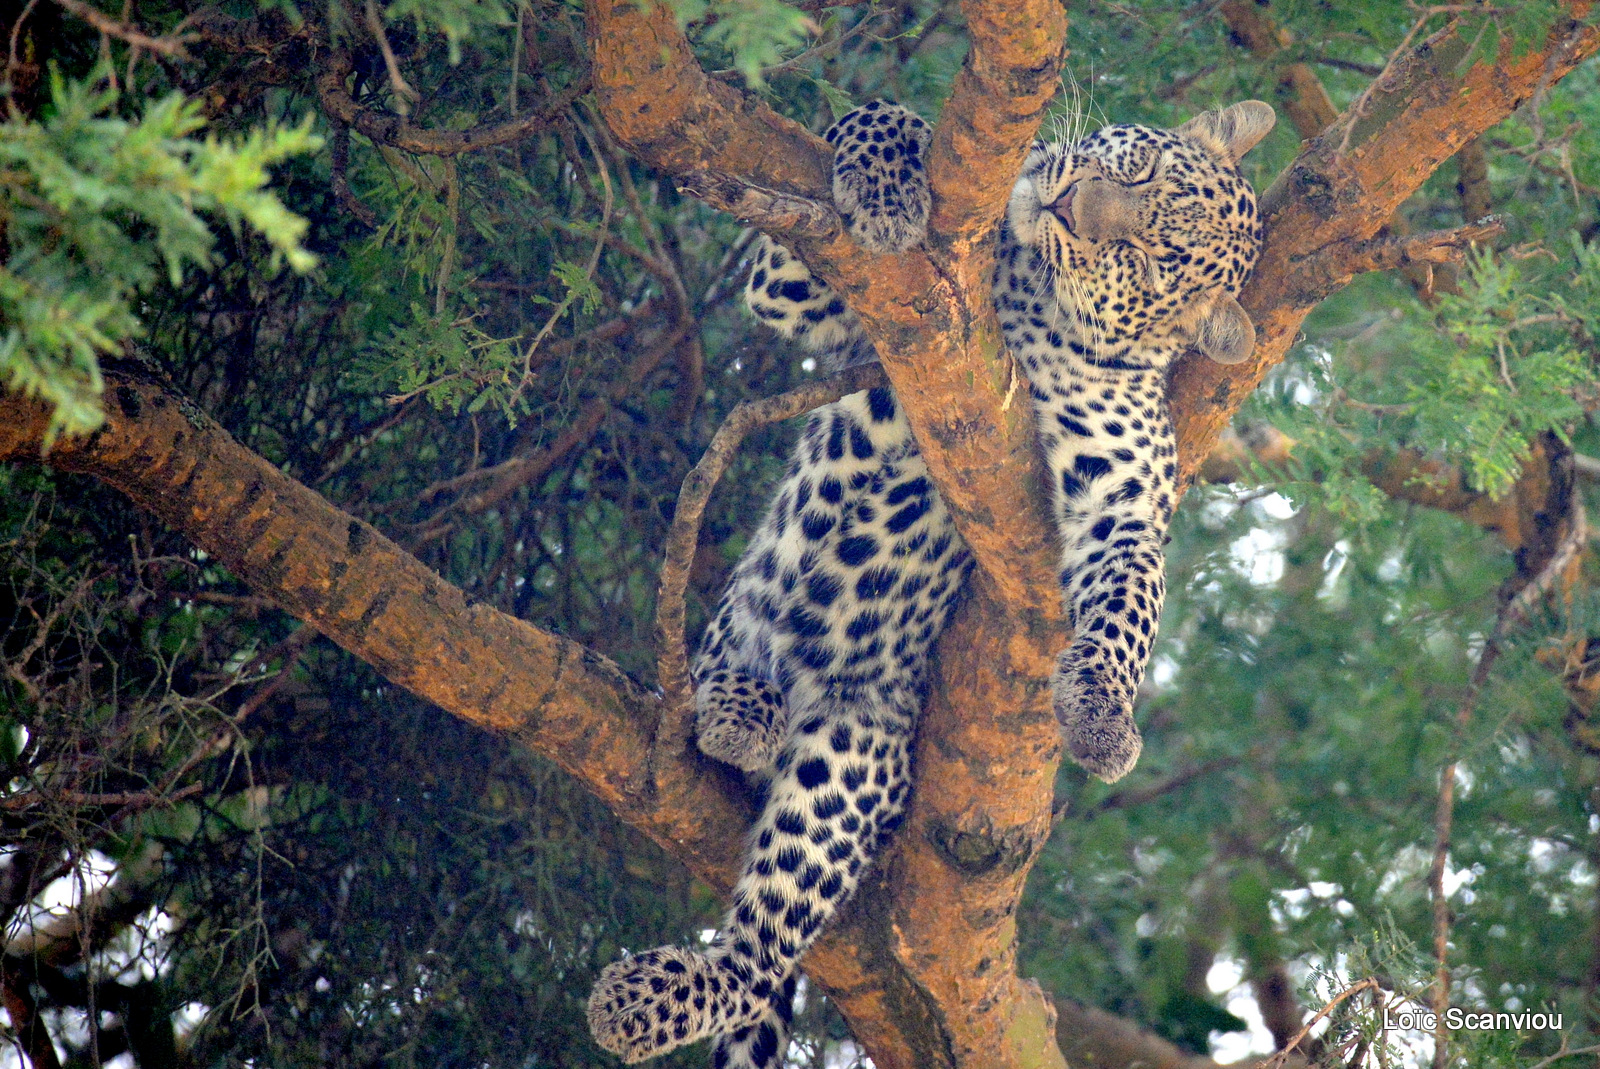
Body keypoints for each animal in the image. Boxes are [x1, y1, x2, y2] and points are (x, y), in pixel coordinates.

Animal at [588, 96, 1273, 1062]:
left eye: (1147, 262)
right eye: (1139, 172)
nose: (1067, 205)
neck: (1029, 293)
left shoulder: (1127, 487)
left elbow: (1131, 597)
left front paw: (1103, 715)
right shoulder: (803, 293)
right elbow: (876, 119)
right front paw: (890, 183)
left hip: (851, 758)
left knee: (761, 948)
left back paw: (650, 993)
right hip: (732, 634)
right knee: (725, 670)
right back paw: (737, 704)